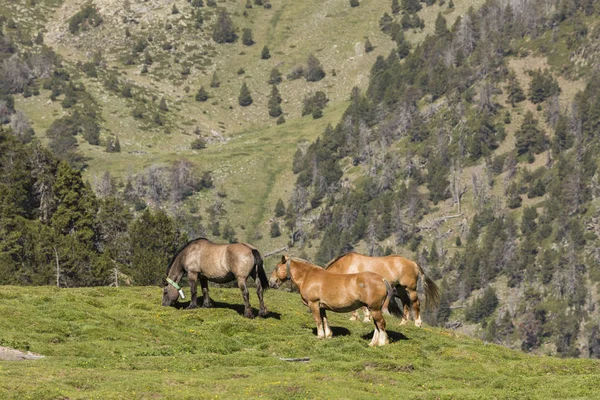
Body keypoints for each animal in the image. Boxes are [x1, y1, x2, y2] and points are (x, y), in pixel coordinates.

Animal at [268, 258, 404, 346]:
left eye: (276, 268)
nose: (271, 282)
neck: (308, 276)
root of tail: (382, 279)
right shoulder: (321, 306)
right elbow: (324, 320)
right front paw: (328, 335)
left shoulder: (314, 304)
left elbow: (318, 320)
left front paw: (320, 336)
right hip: (372, 308)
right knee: (376, 325)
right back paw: (372, 343)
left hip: (374, 309)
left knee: (381, 324)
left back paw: (382, 342)